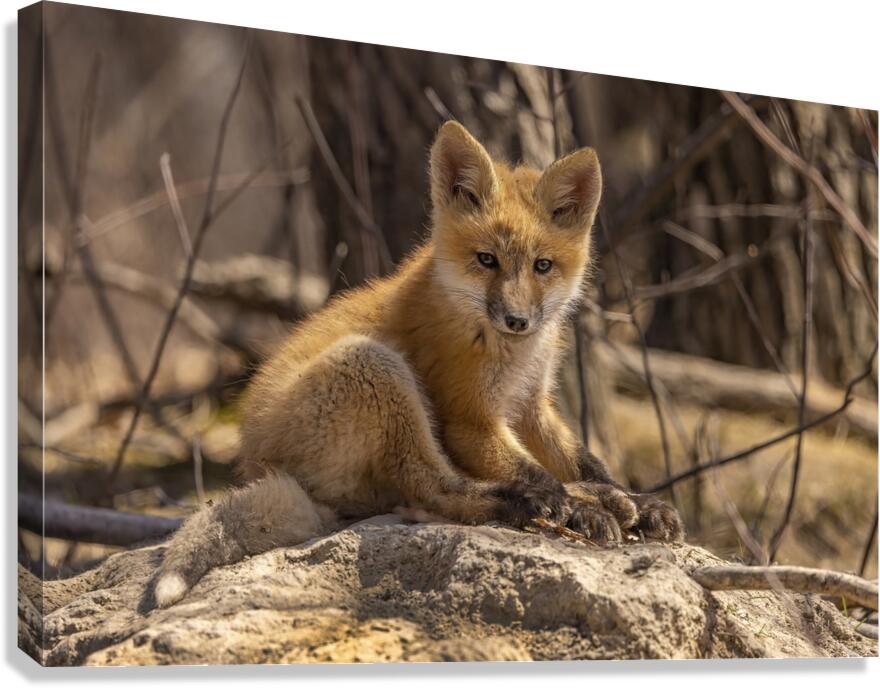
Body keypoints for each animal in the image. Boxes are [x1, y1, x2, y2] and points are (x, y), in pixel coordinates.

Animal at [151, 121, 684, 608]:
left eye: (542, 266)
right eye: (486, 260)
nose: (518, 320)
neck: (512, 354)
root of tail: (254, 465)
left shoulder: (531, 405)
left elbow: (585, 462)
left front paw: (635, 500)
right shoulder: (469, 420)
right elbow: (540, 475)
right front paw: (578, 508)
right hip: (376, 371)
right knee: (436, 494)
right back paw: (534, 506)